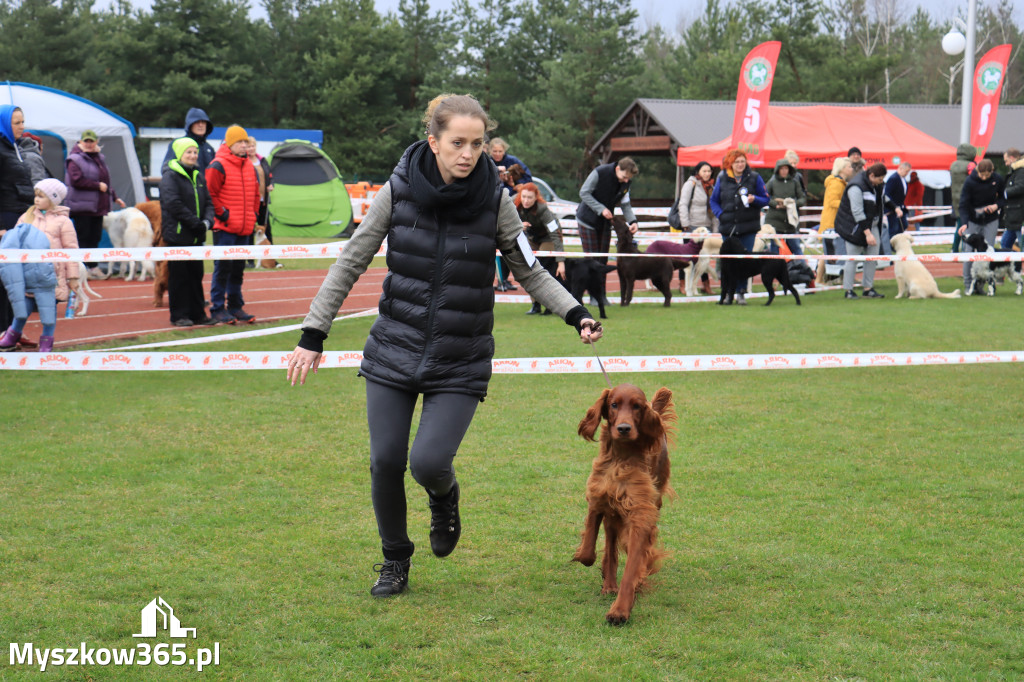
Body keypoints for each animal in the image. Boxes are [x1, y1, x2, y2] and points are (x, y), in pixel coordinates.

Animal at [573, 382, 675, 622]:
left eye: (637, 406)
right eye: (614, 404)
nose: (624, 428)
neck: (620, 458)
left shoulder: (640, 515)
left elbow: (632, 567)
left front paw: (620, 610)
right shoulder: (598, 496)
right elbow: (588, 550)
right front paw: (584, 556)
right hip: (613, 515)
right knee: (610, 543)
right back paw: (609, 583)